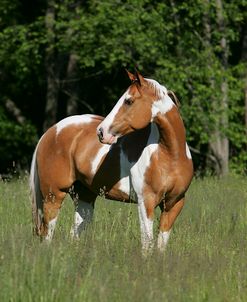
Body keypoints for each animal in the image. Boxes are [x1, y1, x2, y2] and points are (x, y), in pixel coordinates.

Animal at [29, 70, 194, 250]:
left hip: (84, 198)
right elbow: (147, 244)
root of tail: (51, 131)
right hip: (53, 195)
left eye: (128, 101)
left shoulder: (174, 204)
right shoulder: (146, 202)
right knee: (47, 233)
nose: (101, 132)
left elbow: (160, 246)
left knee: (75, 233)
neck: (169, 155)